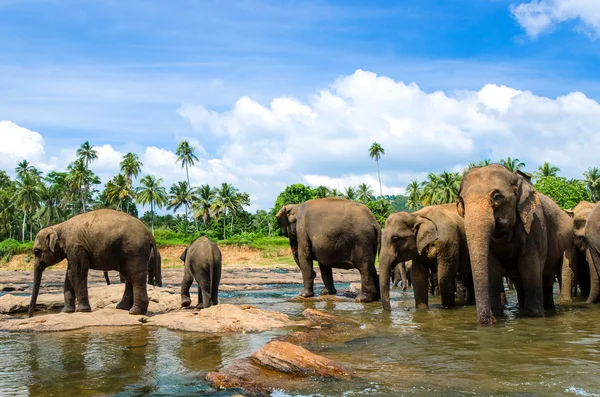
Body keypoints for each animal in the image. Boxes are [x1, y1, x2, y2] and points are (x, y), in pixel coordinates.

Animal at [458, 166, 576, 324]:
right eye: (461, 202)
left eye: (497, 197)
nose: (491, 319)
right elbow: (493, 270)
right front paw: (498, 314)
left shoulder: (536, 225)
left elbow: (529, 267)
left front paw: (534, 315)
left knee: (546, 277)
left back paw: (548, 308)